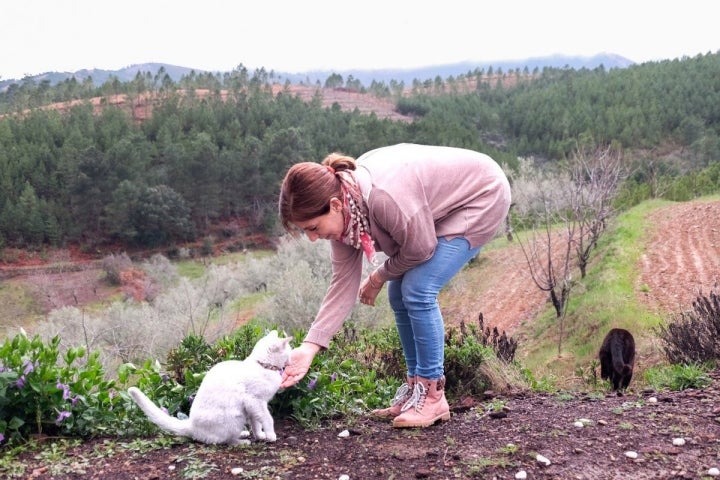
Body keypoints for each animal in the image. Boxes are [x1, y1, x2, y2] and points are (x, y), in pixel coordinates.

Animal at [128, 330, 292, 446]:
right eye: (289, 350)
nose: (292, 359)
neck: (262, 365)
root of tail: (191, 425)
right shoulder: (256, 401)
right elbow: (267, 419)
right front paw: (271, 435)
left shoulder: (252, 408)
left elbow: (256, 424)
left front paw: (260, 435)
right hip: (235, 418)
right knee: (221, 441)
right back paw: (242, 442)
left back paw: (244, 434)